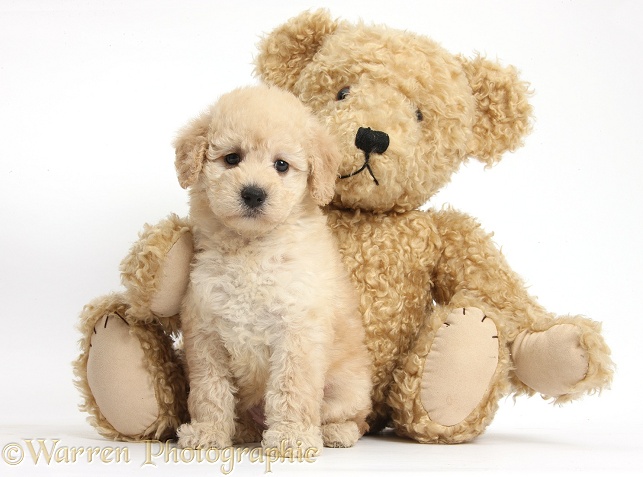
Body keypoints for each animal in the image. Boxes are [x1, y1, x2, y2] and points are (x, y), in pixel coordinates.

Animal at [172, 85, 372, 454]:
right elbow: (210, 390)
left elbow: (293, 388)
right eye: (232, 158)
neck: (251, 249)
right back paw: (243, 431)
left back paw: (336, 432)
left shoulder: (297, 330)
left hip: (348, 386)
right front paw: (208, 431)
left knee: (353, 416)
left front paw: (292, 436)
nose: (253, 194)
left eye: (281, 165)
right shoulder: (205, 330)